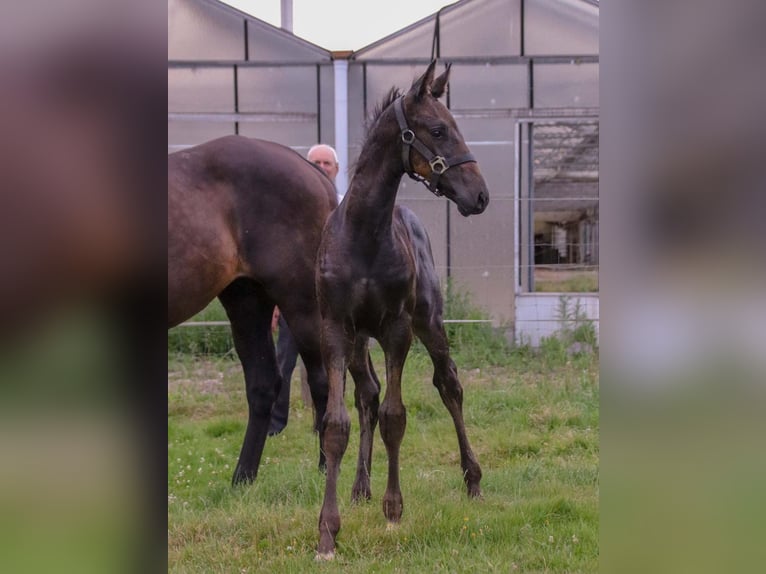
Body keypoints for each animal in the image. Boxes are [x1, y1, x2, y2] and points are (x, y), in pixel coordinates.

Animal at [171, 136, 340, 486]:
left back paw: (323, 468)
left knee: (321, 382)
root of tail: (312, 172)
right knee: (263, 385)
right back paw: (242, 478)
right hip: (247, 301)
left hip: (301, 304)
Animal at [318, 60, 492, 560]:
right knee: (367, 395)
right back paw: (359, 487)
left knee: (449, 385)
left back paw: (472, 480)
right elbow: (336, 425)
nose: (480, 195)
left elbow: (397, 417)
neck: (364, 234)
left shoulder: (397, 329)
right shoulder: (335, 330)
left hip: (429, 322)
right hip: (359, 342)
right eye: (438, 129)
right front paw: (327, 532)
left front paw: (394, 511)